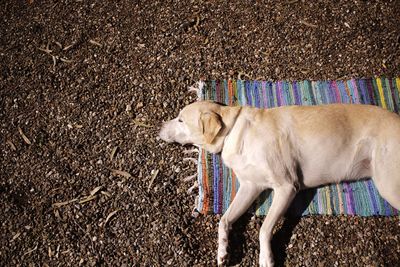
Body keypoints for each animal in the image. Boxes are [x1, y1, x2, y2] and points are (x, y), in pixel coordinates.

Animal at [159, 101, 400, 267]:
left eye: (181, 120)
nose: (158, 127)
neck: (233, 131)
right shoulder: (250, 186)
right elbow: (224, 220)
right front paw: (223, 251)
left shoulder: (286, 187)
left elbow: (264, 228)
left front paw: (265, 258)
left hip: (388, 184)